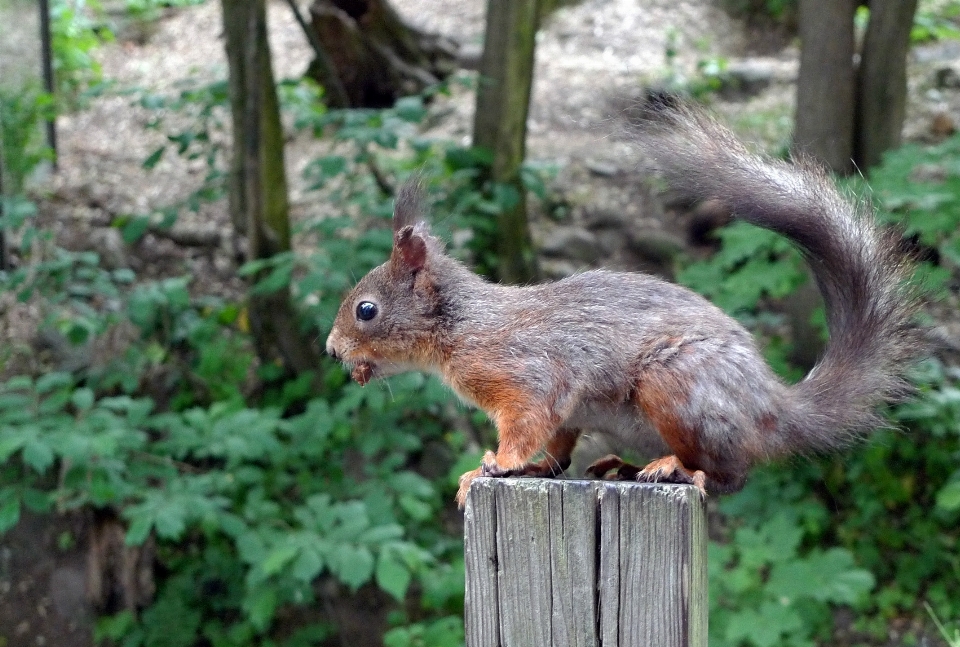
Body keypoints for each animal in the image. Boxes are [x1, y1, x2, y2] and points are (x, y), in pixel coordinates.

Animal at [326, 105, 928, 512]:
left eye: (366, 310)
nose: (331, 351)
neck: (465, 326)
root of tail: (773, 406)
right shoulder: (565, 411)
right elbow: (557, 447)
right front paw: (529, 467)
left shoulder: (528, 373)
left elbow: (527, 422)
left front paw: (494, 465)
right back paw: (625, 465)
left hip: (677, 385)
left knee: (729, 475)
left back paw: (675, 469)